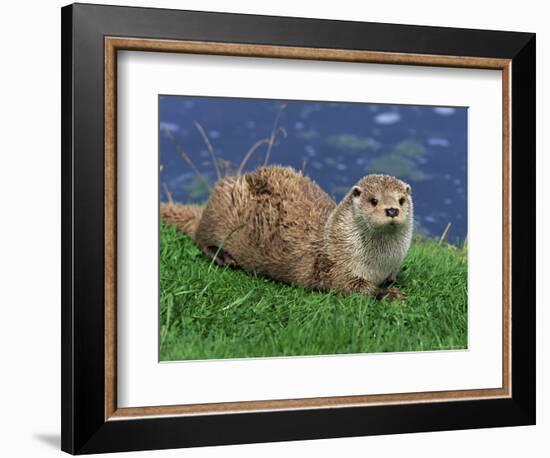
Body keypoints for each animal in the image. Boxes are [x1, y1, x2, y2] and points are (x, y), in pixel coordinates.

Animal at [162, 166, 416, 298]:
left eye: (401, 200)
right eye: (373, 200)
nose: (392, 209)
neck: (378, 263)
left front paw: (394, 284)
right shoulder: (335, 267)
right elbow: (351, 287)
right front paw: (388, 294)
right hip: (221, 210)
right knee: (201, 238)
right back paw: (224, 256)